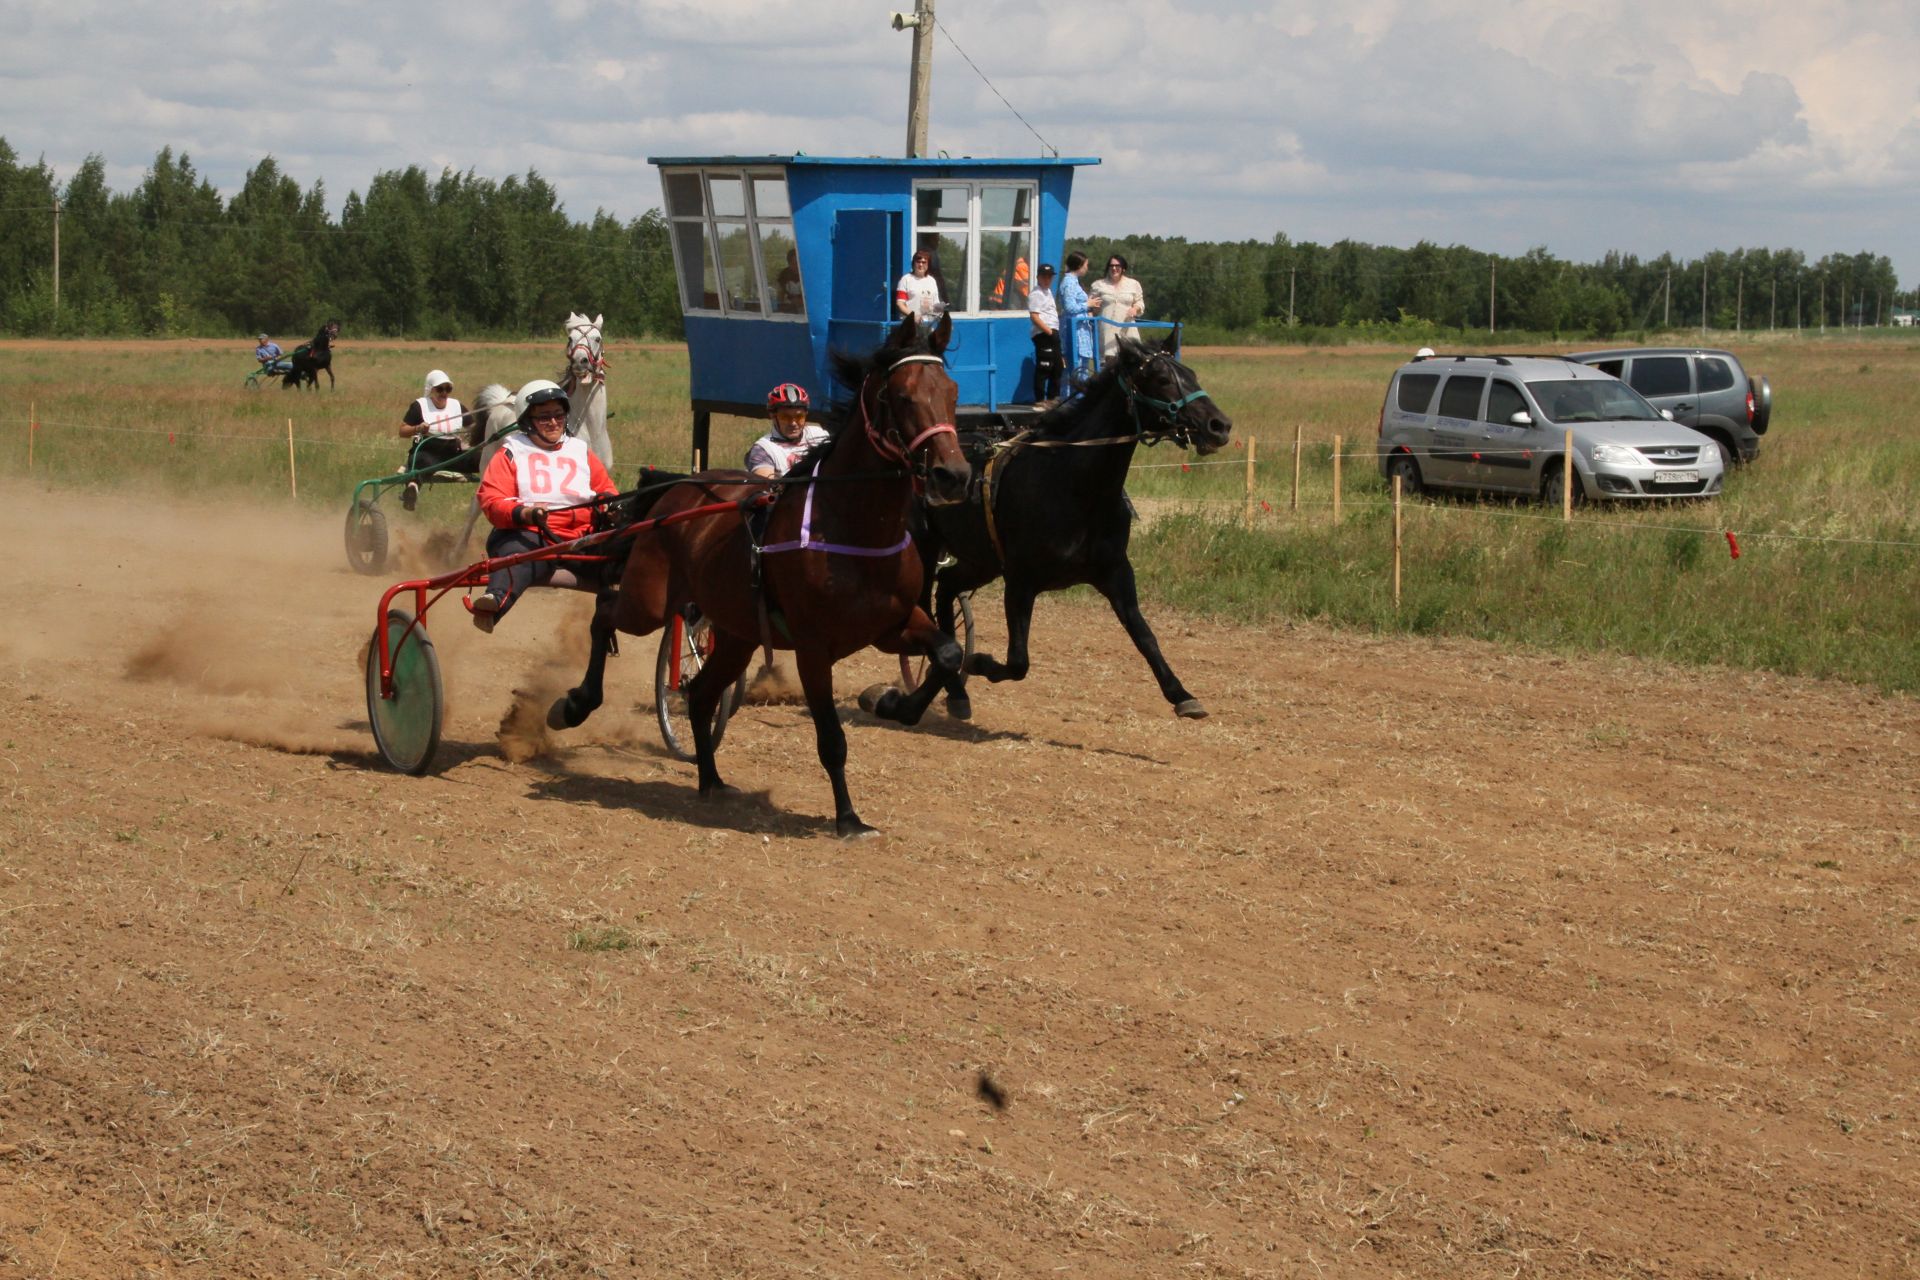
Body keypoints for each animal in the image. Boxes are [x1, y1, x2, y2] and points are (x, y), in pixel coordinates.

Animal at [910, 333, 1228, 721]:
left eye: (1192, 374)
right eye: (1162, 379)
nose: (1219, 425)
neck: (1074, 486)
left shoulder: (1115, 572)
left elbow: (1145, 636)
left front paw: (1181, 693)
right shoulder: (1020, 580)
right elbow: (1018, 661)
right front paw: (979, 661)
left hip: (981, 560)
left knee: (946, 588)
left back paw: (954, 689)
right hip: (925, 547)